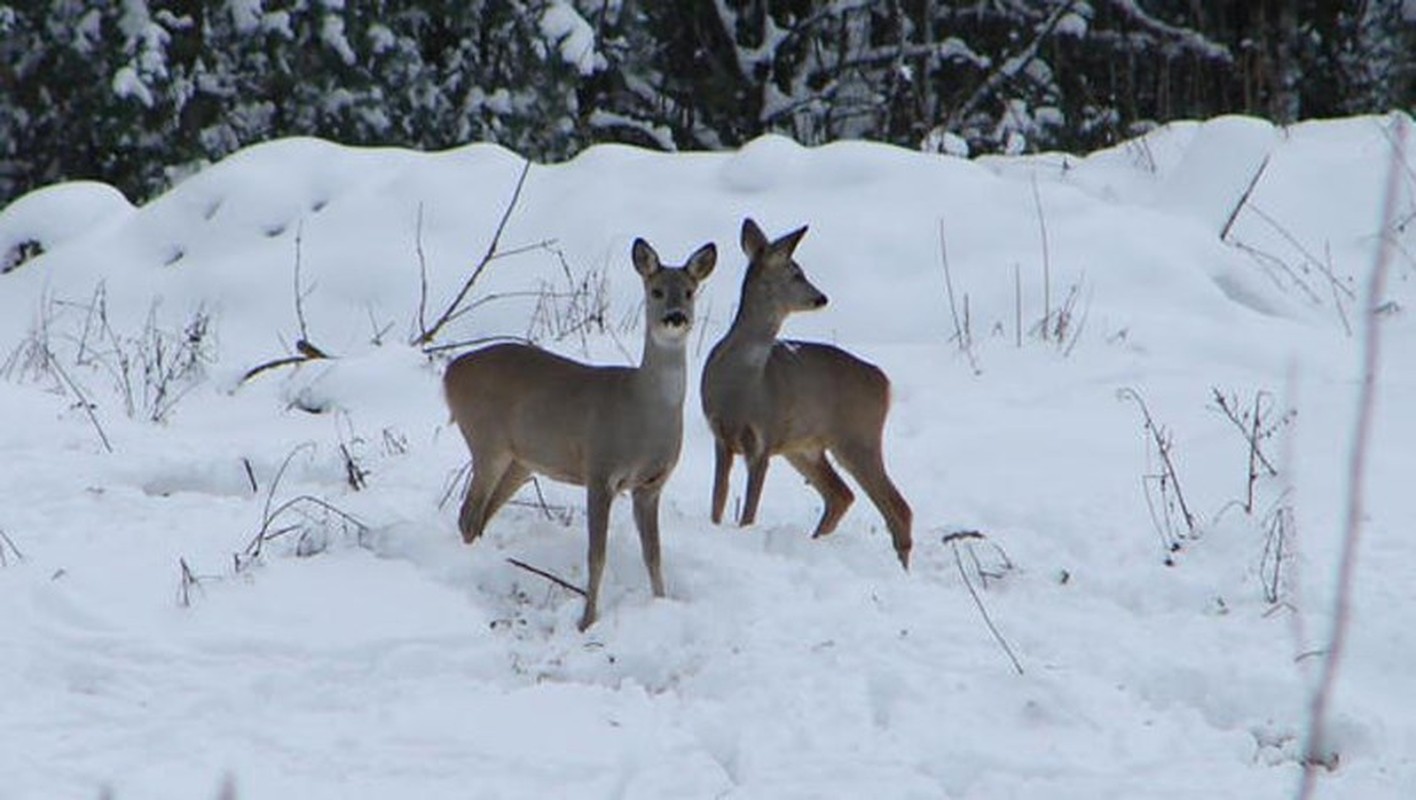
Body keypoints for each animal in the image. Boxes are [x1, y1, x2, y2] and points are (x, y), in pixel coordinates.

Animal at [444, 236, 719, 631]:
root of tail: (450, 371)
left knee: (479, 516)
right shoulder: (600, 471)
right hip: (486, 440)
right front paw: (586, 621)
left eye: (689, 291)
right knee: (468, 513)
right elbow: (596, 555)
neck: (642, 411)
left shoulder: (650, 485)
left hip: (521, 461)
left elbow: (654, 555)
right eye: (655, 290)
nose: (675, 317)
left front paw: (661, 605)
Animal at [699, 218, 917, 566]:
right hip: (805, 447)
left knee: (897, 507)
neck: (741, 385)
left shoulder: (764, 435)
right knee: (842, 495)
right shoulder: (721, 434)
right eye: (796, 274)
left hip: (858, 435)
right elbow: (718, 503)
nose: (821, 298)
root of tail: (884, 381)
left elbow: (749, 512)